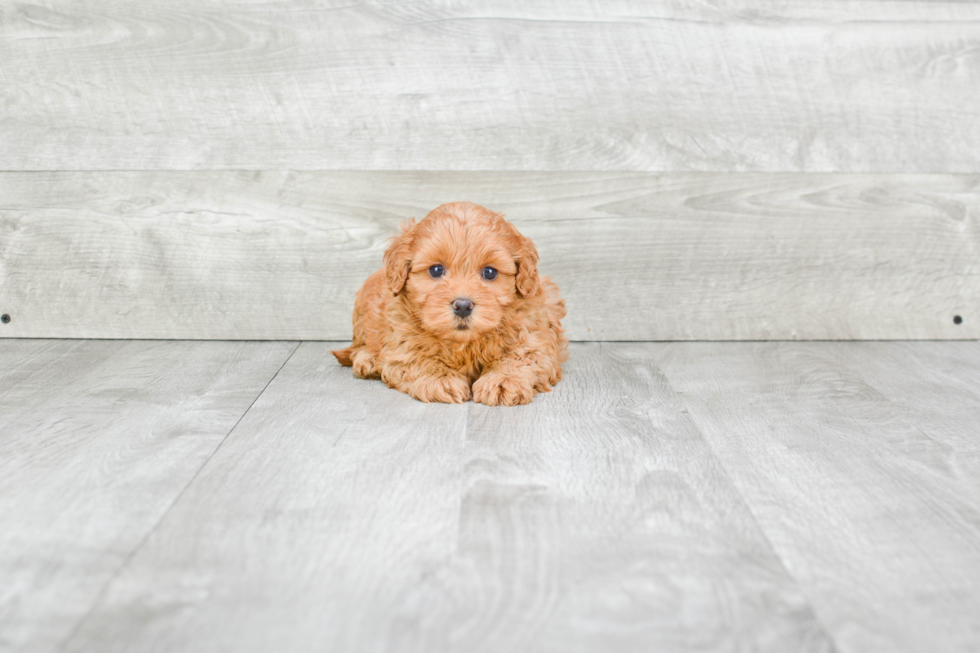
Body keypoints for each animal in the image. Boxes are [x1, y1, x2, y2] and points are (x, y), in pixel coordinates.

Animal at [334, 201, 572, 404]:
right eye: (436, 270)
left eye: (490, 272)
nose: (463, 306)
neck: (464, 343)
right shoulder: (400, 340)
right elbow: (417, 358)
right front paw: (441, 379)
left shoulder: (534, 334)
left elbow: (521, 357)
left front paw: (503, 380)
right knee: (358, 346)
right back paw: (368, 360)